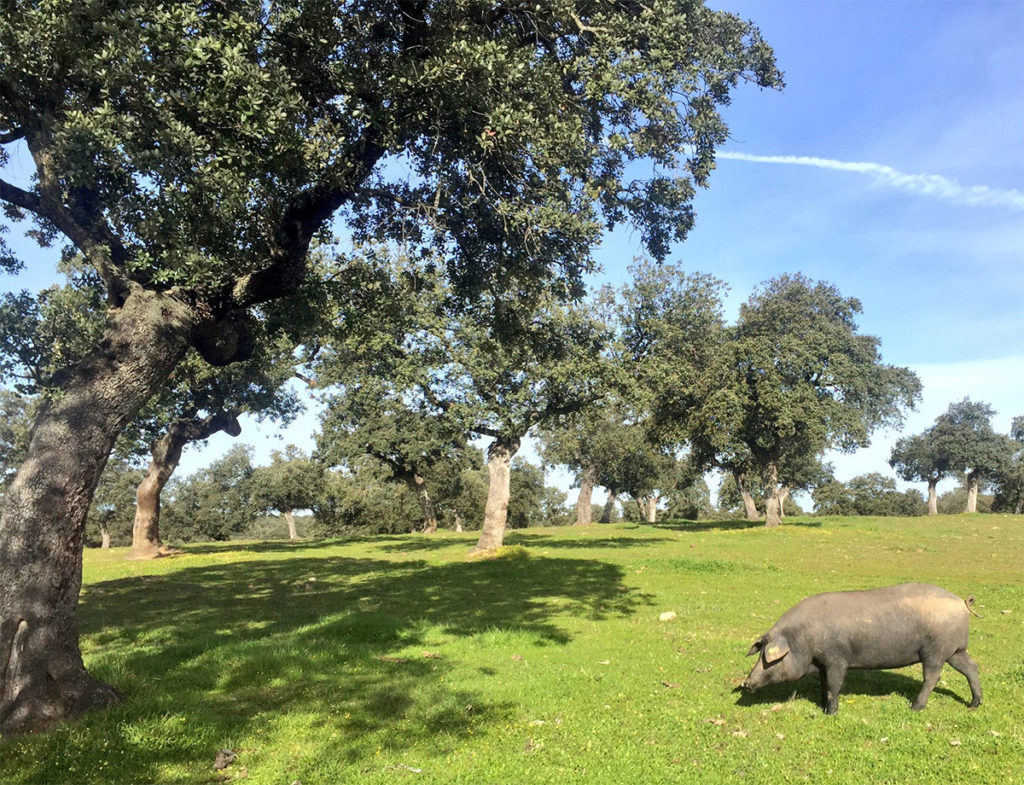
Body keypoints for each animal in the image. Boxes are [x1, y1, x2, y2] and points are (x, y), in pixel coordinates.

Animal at [741, 583, 982, 715]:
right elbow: (823, 684)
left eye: (770, 659)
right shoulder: (823, 663)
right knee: (972, 667)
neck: (804, 638)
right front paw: (821, 705)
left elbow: (834, 685)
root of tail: (961, 602)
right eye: (759, 654)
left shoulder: (837, 658)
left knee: (932, 677)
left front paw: (830, 713)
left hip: (935, 650)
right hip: (955, 650)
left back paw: (915, 707)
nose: (746, 682)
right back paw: (974, 704)